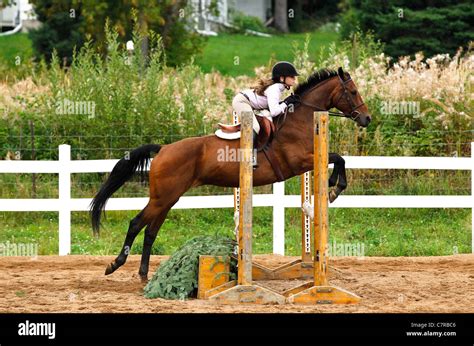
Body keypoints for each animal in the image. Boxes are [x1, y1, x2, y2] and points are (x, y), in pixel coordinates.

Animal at [90, 67, 370, 282]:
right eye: (352, 92)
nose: (366, 119)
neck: (298, 120)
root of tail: (163, 149)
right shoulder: (298, 161)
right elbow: (338, 158)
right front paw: (334, 187)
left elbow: (338, 158)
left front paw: (333, 187)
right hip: (162, 198)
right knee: (136, 224)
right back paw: (115, 264)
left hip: (169, 198)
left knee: (150, 231)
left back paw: (143, 274)